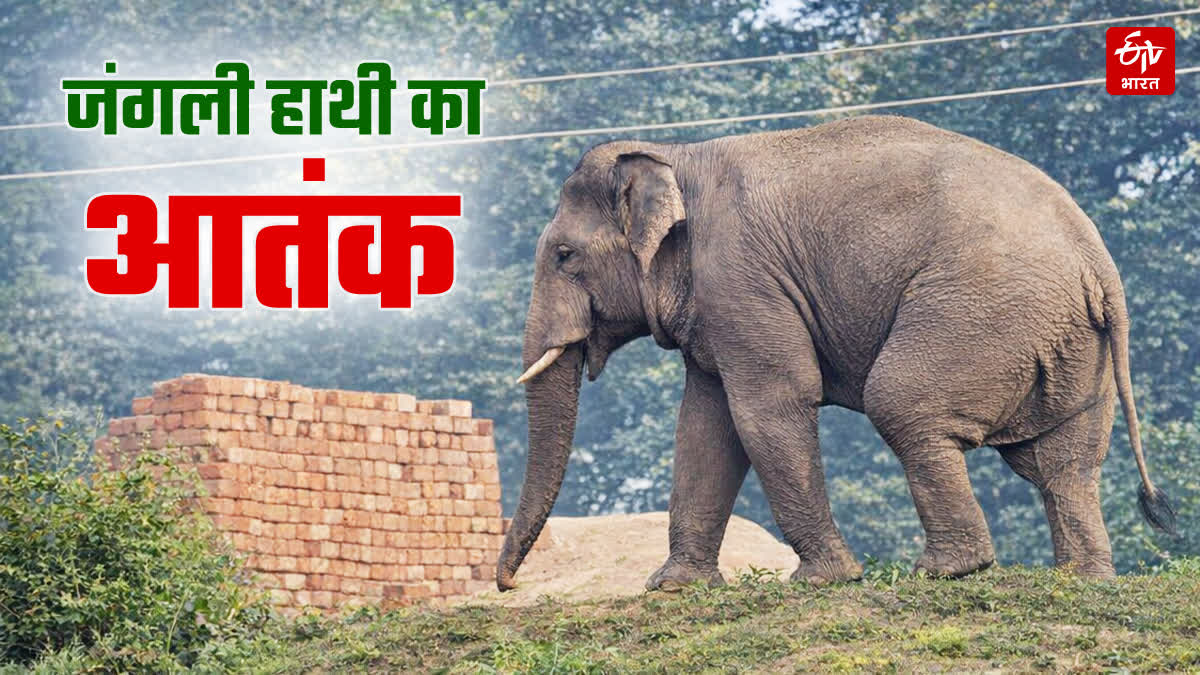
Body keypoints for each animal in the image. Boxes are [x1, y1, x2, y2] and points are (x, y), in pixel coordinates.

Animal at [496, 115, 1176, 592]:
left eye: (563, 255)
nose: (506, 584)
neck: (680, 156)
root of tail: (1097, 261)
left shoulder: (742, 276)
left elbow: (769, 404)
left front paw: (823, 580)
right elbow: (706, 423)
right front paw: (672, 589)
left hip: (983, 309)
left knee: (903, 403)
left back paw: (946, 570)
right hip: (1067, 344)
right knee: (1061, 462)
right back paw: (1082, 580)